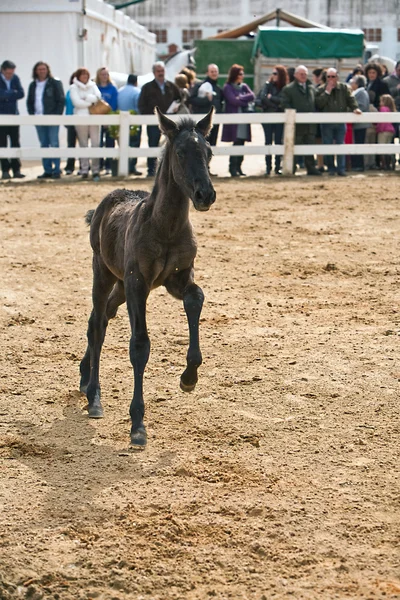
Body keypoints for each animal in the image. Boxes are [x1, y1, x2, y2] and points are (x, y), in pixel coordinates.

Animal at [79, 105, 216, 448]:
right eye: (180, 152)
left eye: (208, 152)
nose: (205, 195)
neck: (164, 227)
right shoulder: (138, 283)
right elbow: (140, 345)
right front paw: (138, 424)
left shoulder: (176, 279)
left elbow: (196, 297)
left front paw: (189, 377)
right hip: (103, 273)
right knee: (97, 325)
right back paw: (94, 397)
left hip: (120, 285)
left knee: (101, 318)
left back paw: (84, 375)